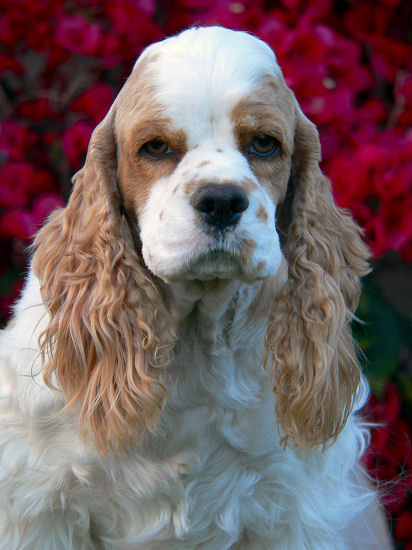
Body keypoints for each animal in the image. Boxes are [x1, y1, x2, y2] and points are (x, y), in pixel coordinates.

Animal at [0, 25, 390, 550]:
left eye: (264, 144)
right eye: (155, 147)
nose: (222, 200)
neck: (196, 335)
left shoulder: (291, 506)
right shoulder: (39, 503)